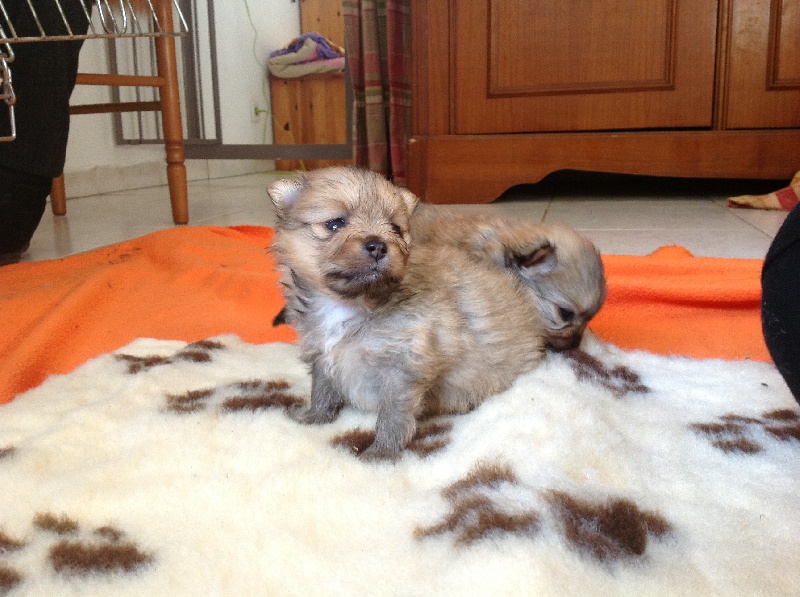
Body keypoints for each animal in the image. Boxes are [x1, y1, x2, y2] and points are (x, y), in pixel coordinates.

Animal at [268, 167, 546, 460]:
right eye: (335, 224)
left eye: (395, 229)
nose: (378, 245)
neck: (350, 304)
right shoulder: (322, 353)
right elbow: (321, 389)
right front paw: (315, 418)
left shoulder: (401, 366)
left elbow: (393, 414)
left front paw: (382, 453)